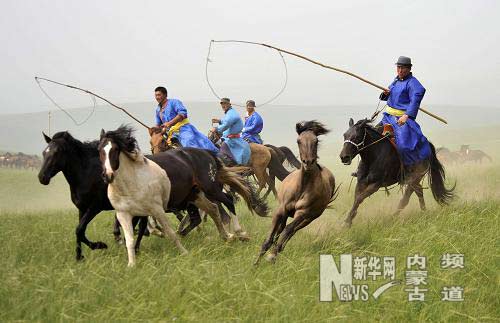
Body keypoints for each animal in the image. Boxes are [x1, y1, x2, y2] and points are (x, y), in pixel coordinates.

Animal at [98, 125, 188, 268]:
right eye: (99, 150)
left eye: (115, 149)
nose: (108, 175)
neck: (129, 186)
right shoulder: (123, 214)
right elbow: (129, 239)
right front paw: (131, 264)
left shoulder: (157, 210)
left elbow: (170, 232)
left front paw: (184, 252)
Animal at [256, 121, 338, 266]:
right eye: (298, 141)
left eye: (316, 141)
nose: (308, 162)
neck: (302, 187)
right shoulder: (281, 210)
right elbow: (270, 238)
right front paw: (255, 264)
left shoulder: (303, 214)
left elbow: (288, 230)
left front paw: (271, 256)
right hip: (288, 215)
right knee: (281, 231)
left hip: (309, 219)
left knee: (290, 232)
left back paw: (277, 251)